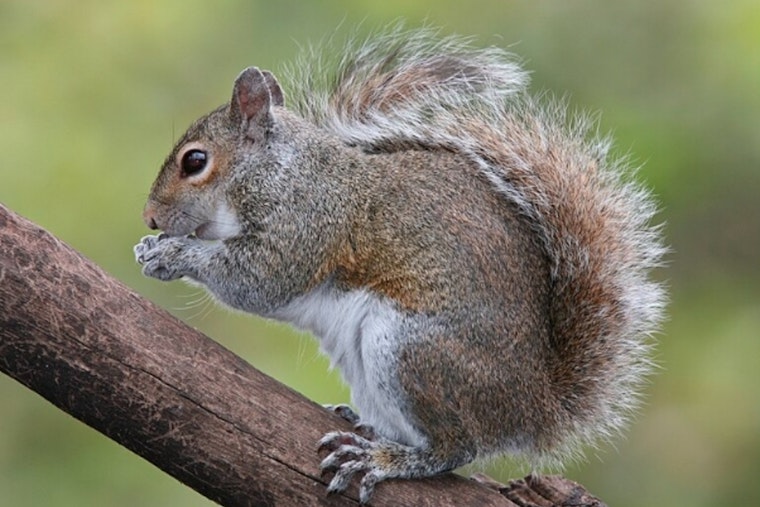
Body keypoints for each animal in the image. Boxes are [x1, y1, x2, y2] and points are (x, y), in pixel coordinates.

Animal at [134, 27, 666, 504]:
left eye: (195, 161)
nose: (150, 217)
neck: (276, 170)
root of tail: (536, 408)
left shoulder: (305, 224)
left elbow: (258, 279)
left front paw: (170, 254)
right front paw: (150, 247)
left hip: (410, 351)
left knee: (456, 447)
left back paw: (384, 458)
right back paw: (363, 423)